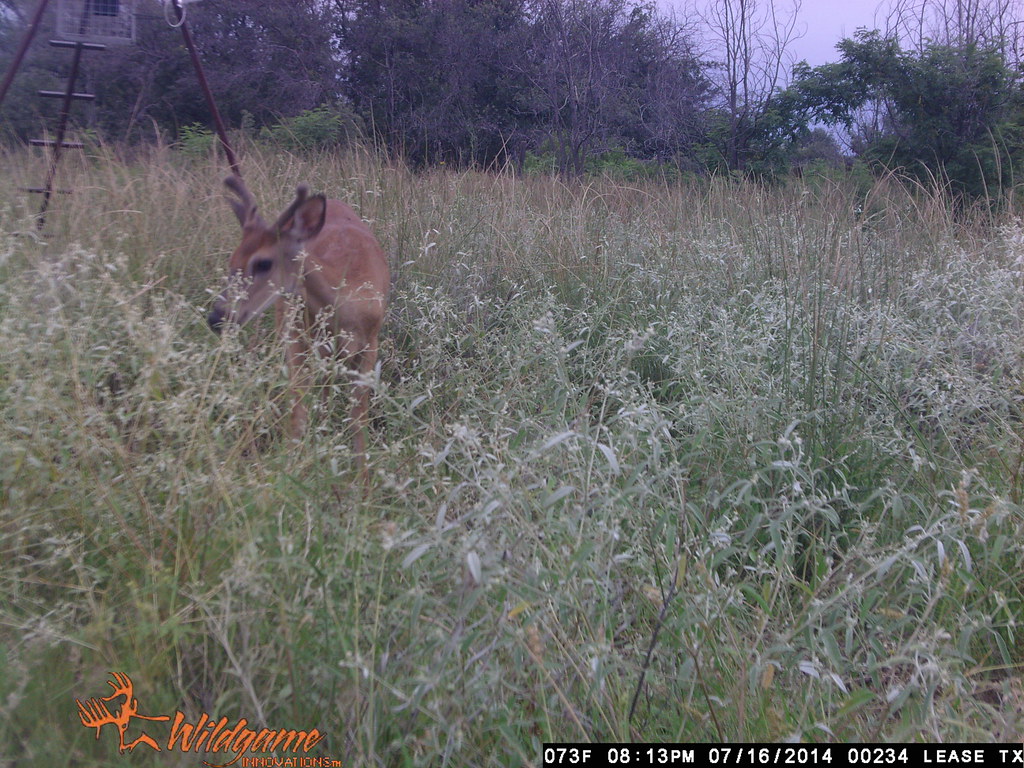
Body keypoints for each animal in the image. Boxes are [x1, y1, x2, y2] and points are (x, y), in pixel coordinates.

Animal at [208, 175, 389, 488]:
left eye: (263, 262)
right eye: (232, 259)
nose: (217, 317)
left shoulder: (371, 343)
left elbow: (358, 417)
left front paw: (363, 484)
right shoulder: (298, 341)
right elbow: (298, 412)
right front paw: (291, 474)